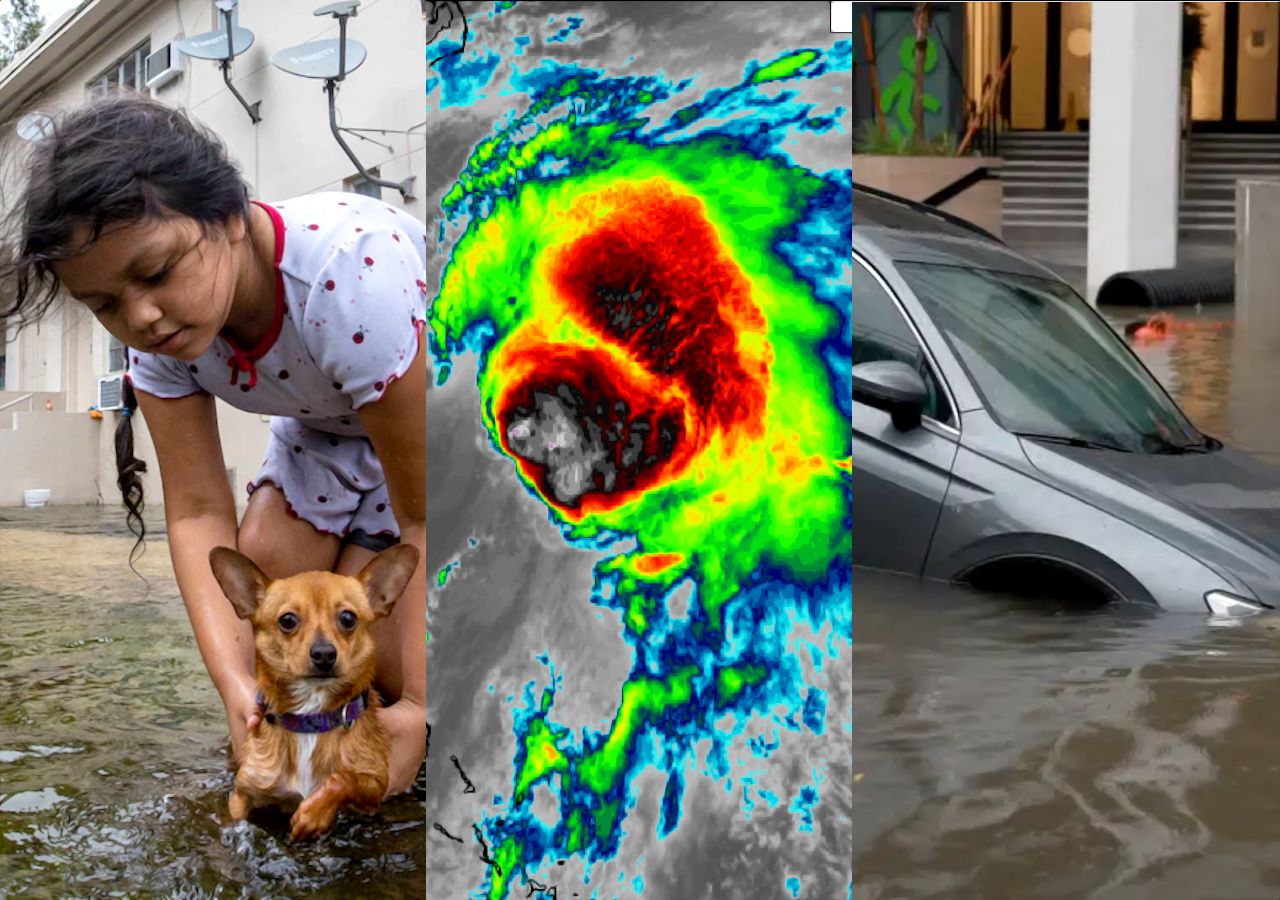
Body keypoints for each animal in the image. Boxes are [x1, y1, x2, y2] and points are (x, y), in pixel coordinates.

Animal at [209, 542, 417, 844]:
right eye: (287, 620)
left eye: (348, 618)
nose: (324, 653)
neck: (311, 719)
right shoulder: (242, 793)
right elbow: (233, 820)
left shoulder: (376, 785)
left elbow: (343, 778)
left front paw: (314, 813)